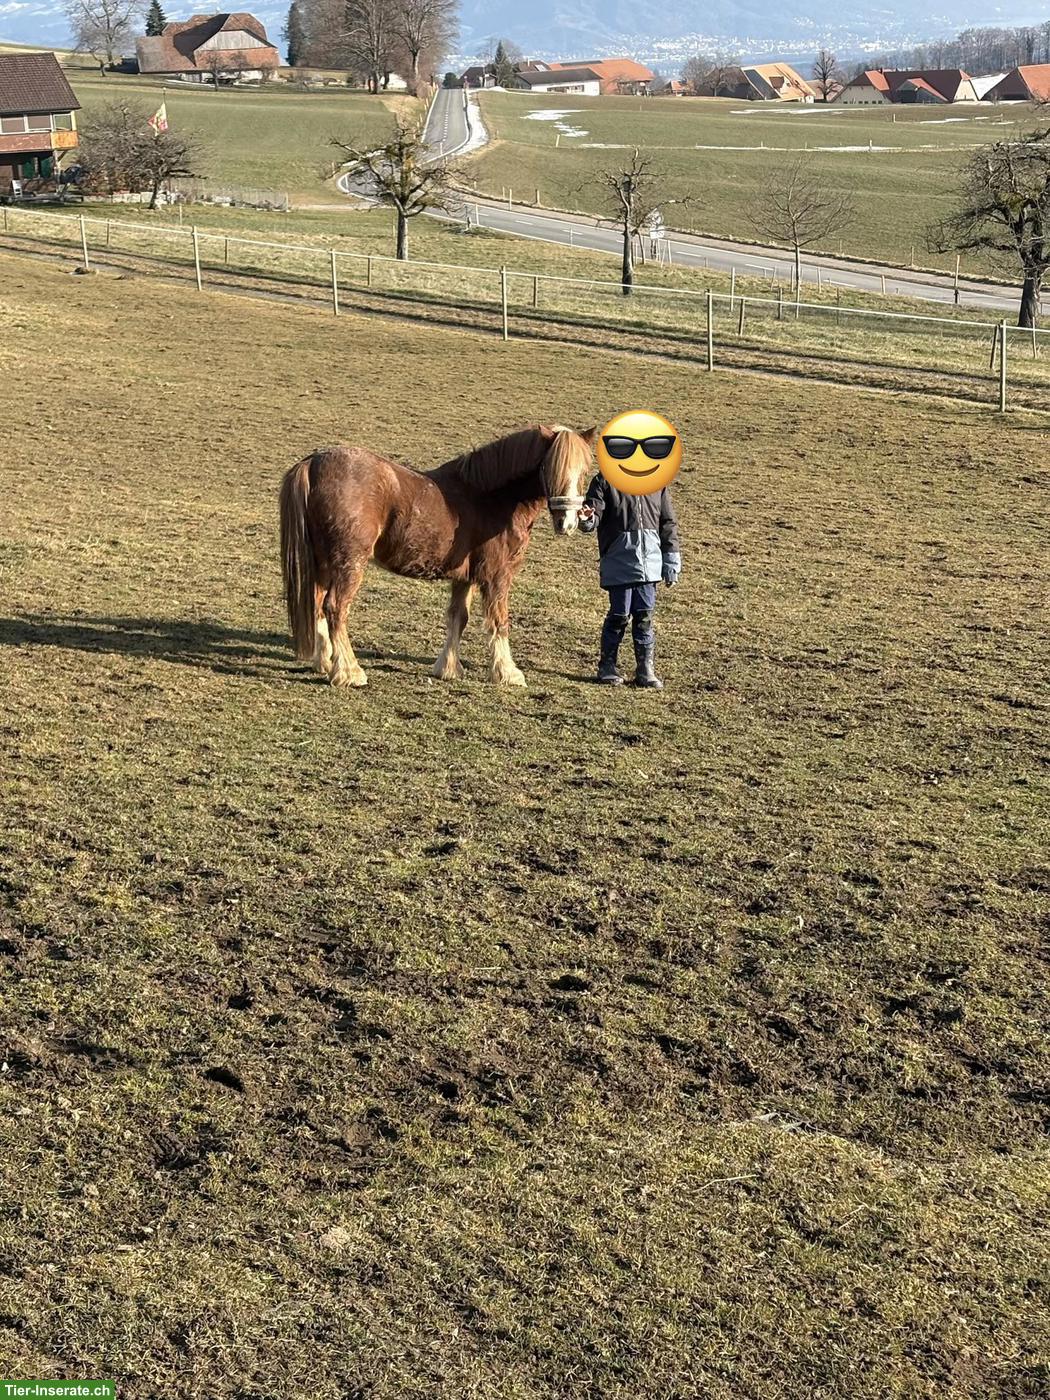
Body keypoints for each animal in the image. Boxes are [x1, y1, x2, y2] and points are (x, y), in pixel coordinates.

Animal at [279, 423, 598, 688]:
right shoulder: (497, 576)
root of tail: (313, 463)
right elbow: (499, 621)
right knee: (336, 608)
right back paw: (349, 672)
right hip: (349, 564)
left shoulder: (465, 577)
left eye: (583, 472)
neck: (492, 497)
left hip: (323, 564)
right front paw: (508, 673)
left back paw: (325, 662)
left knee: (318, 605)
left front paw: (448, 668)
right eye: (550, 470)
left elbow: (458, 617)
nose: (568, 523)